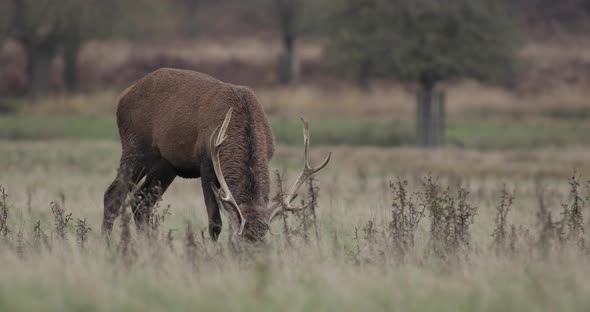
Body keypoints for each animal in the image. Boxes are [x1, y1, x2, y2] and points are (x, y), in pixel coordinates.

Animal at [103, 68, 330, 241]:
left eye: (265, 242)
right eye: (240, 241)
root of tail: (122, 96)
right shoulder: (206, 162)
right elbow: (215, 223)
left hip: (166, 164)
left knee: (141, 201)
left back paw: (148, 245)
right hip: (135, 147)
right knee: (113, 195)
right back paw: (108, 246)